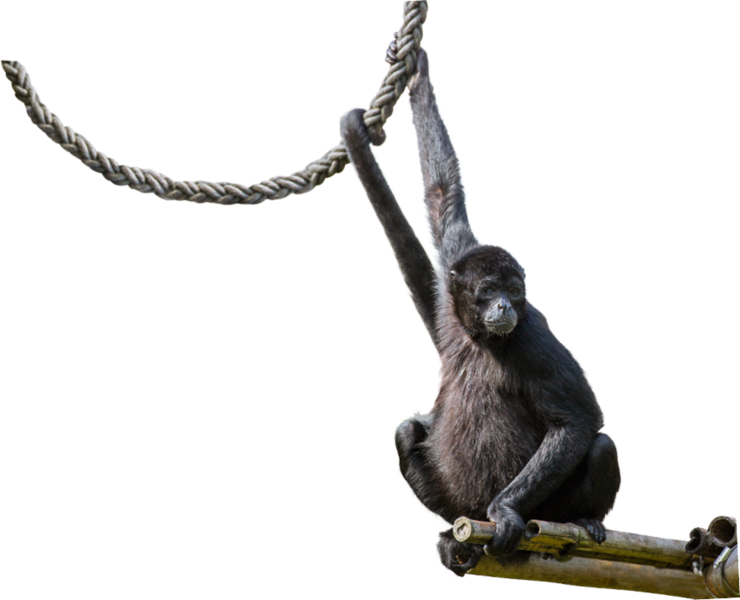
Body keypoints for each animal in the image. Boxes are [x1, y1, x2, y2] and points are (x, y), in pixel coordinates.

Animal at [338, 46, 621, 578]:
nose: (505, 306)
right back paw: (454, 531)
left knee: (601, 443)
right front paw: (418, 69)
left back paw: (582, 520)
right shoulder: (453, 293)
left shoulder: (530, 335)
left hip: (549, 506)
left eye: (512, 290)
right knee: (408, 431)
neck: (478, 339)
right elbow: (443, 195)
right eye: (488, 291)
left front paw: (505, 511)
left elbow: (579, 420)